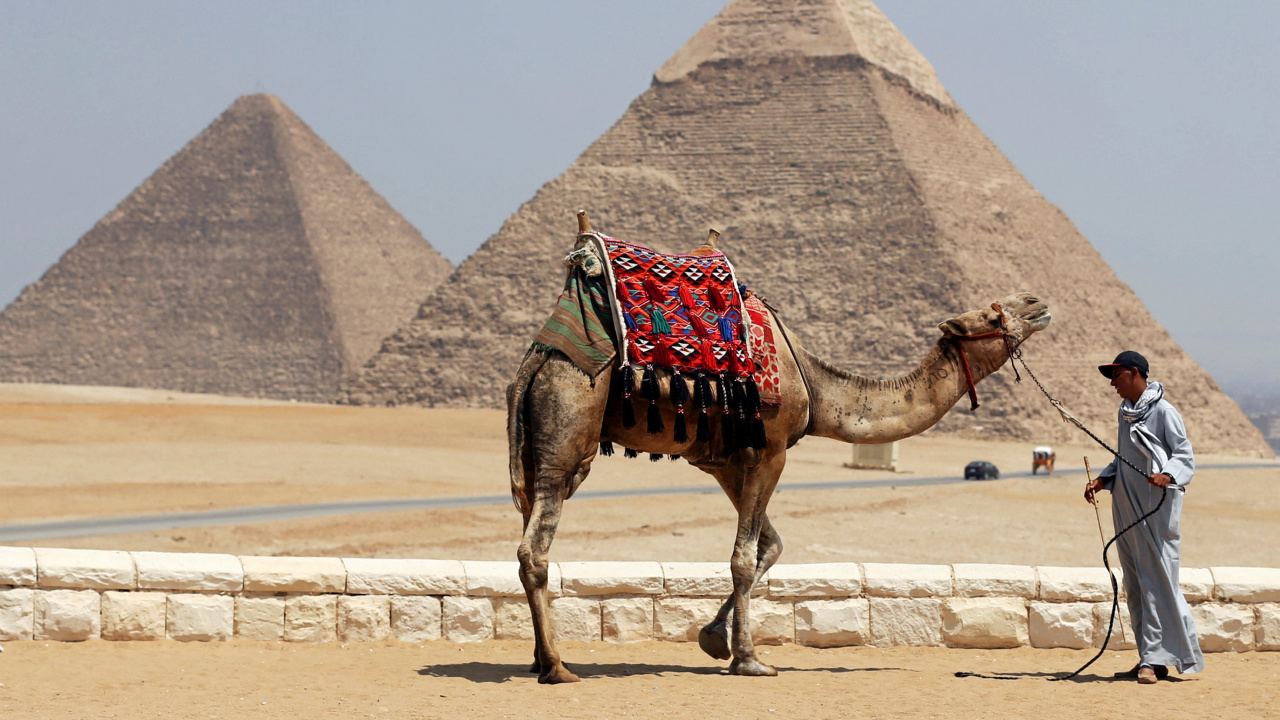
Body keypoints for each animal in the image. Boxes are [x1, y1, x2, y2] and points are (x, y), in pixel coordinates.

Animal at [507, 216, 1052, 683]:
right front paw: (749, 659)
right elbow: (744, 557)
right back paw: (556, 666)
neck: (815, 386)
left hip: (538, 444)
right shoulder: (771, 451)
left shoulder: (726, 462)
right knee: (535, 546)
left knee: (530, 525)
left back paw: (537, 657)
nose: (1036, 301)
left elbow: (768, 546)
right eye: (988, 313)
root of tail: (534, 361)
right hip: (571, 419)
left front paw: (714, 639)